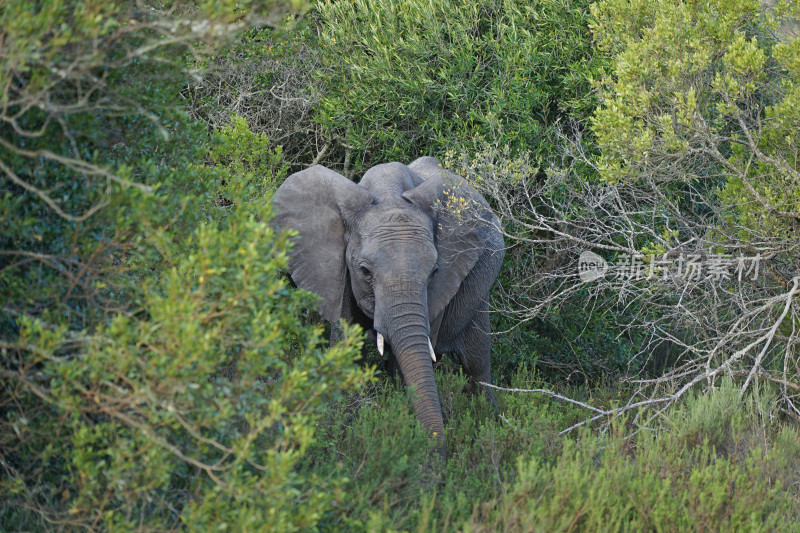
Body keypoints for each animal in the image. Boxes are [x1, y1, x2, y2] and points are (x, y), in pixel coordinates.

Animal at [272, 155, 504, 458]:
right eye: (364, 271)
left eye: (434, 271)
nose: (438, 459)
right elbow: (347, 352)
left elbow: (401, 366)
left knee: (476, 366)